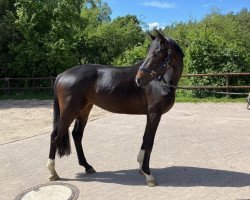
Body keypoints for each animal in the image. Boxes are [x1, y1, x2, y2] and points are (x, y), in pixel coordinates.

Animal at [47, 30, 184, 186]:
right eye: (150, 52)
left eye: (156, 53)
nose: (139, 79)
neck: (161, 81)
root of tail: (61, 75)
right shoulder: (154, 114)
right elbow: (149, 142)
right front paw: (148, 175)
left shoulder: (150, 115)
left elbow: (145, 139)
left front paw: (141, 168)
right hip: (69, 112)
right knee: (55, 136)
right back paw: (53, 173)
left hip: (84, 110)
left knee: (77, 134)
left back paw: (87, 166)